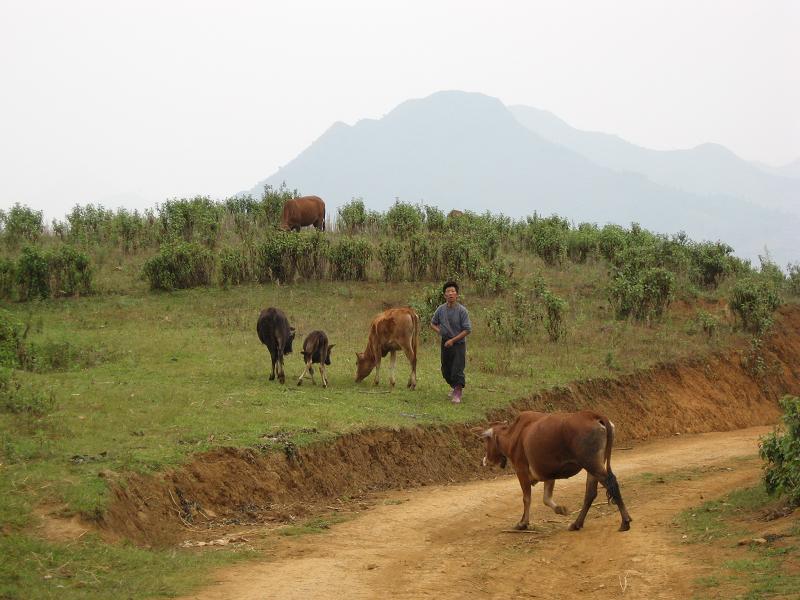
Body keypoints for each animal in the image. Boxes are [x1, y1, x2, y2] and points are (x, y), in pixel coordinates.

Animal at [482, 410, 632, 532]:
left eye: (487, 441)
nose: (486, 460)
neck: (514, 435)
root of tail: (594, 415)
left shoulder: (521, 470)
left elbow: (527, 498)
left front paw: (523, 523)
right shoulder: (548, 474)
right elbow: (546, 498)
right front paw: (561, 509)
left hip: (592, 464)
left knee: (611, 483)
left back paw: (625, 522)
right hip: (594, 466)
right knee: (590, 493)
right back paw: (576, 524)